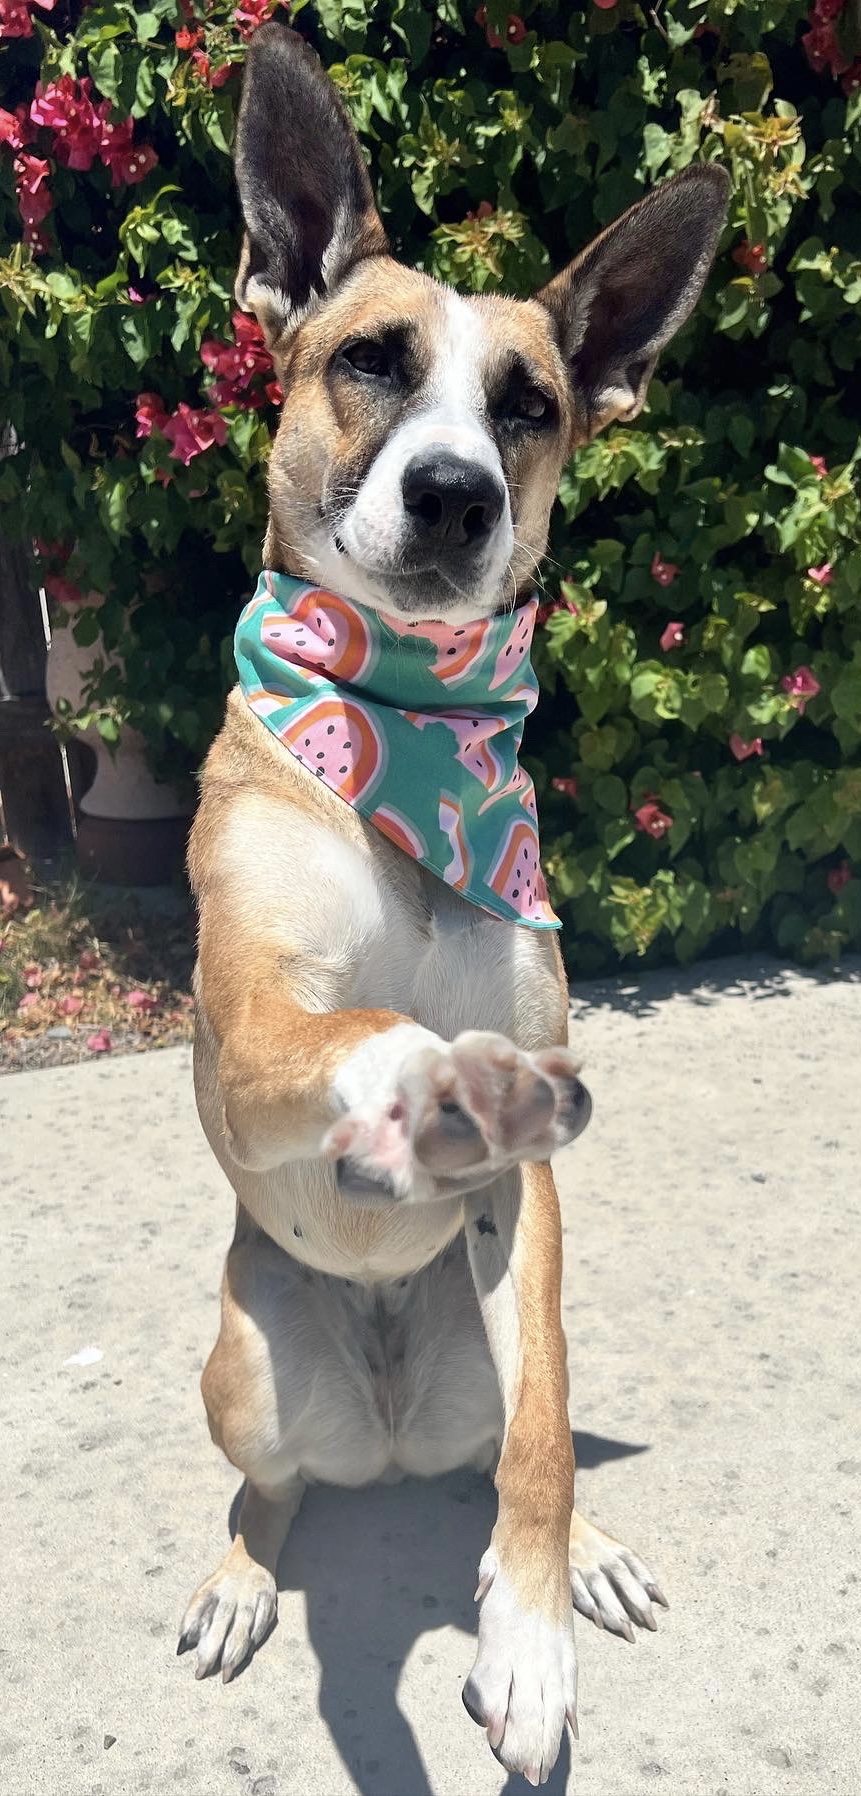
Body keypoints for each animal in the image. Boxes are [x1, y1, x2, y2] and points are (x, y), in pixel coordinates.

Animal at [180, 24, 726, 1781]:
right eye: (369, 359)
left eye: (528, 405)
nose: (453, 494)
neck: (405, 734)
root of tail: (388, 1432)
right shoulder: (251, 1030)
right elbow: (365, 1020)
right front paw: (429, 1071)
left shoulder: (531, 1224)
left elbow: (545, 1441)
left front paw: (533, 1634)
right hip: (248, 1369)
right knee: (269, 1487)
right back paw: (242, 1571)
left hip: (500, 1320)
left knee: (510, 1439)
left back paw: (568, 1560)